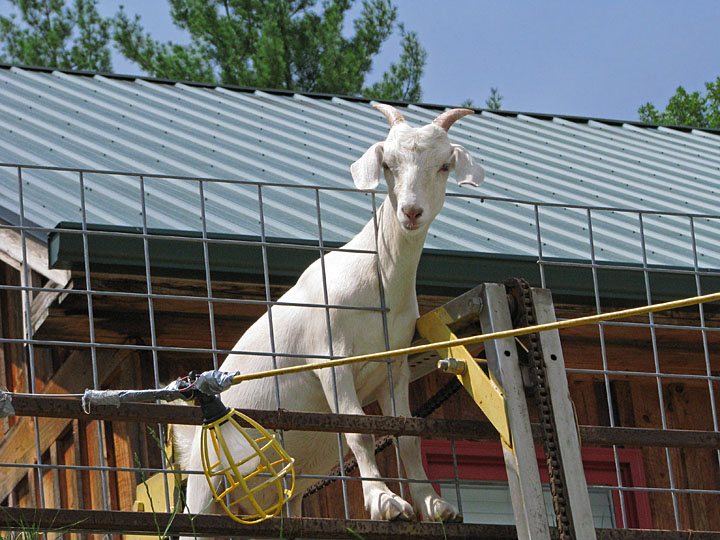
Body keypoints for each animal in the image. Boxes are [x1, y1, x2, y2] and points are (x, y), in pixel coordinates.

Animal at [176, 103, 484, 524]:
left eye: (443, 166)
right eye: (388, 163)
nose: (411, 211)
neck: (376, 280)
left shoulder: (394, 368)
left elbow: (405, 435)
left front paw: (433, 504)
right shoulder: (330, 360)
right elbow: (359, 432)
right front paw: (385, 502)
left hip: (285, 488)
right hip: (205, 487)